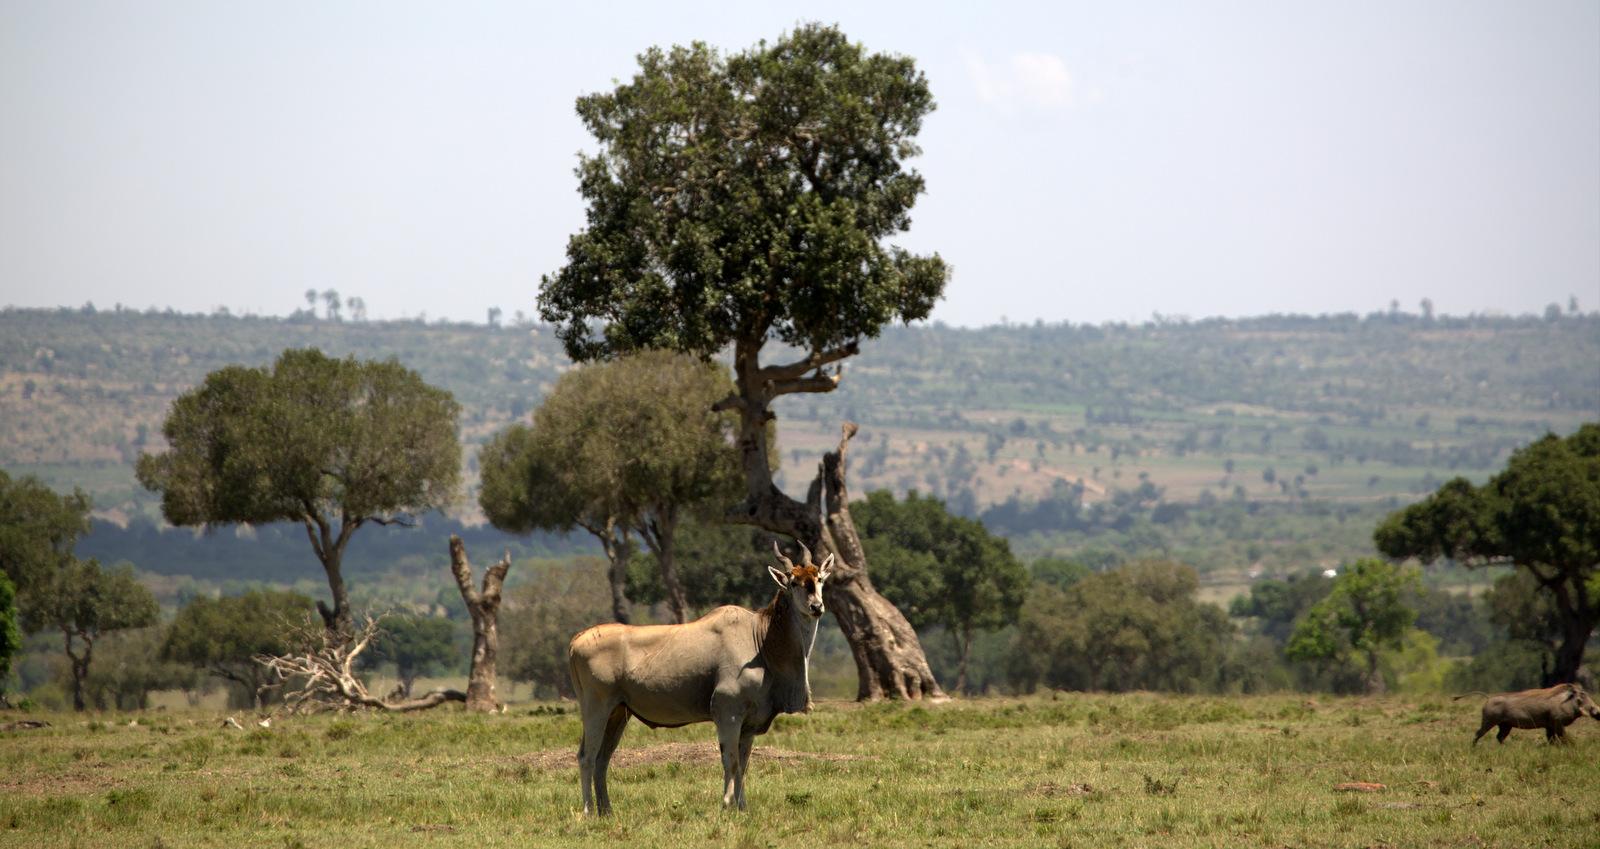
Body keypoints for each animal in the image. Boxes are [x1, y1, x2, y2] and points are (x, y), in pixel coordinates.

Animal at [569, 540, 838, 815]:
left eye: (819, 578)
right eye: (793, 582)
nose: (817, 607)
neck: (760, 640)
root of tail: (577, 640)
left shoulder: (748, 725)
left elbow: (743, 765)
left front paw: (742, 807)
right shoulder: (728, 713)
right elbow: (731, 762)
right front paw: (726, 805)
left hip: (618, 713)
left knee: (602, 758)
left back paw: (606, 811)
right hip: (596, 708)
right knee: (586, 756)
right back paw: (588, 811)